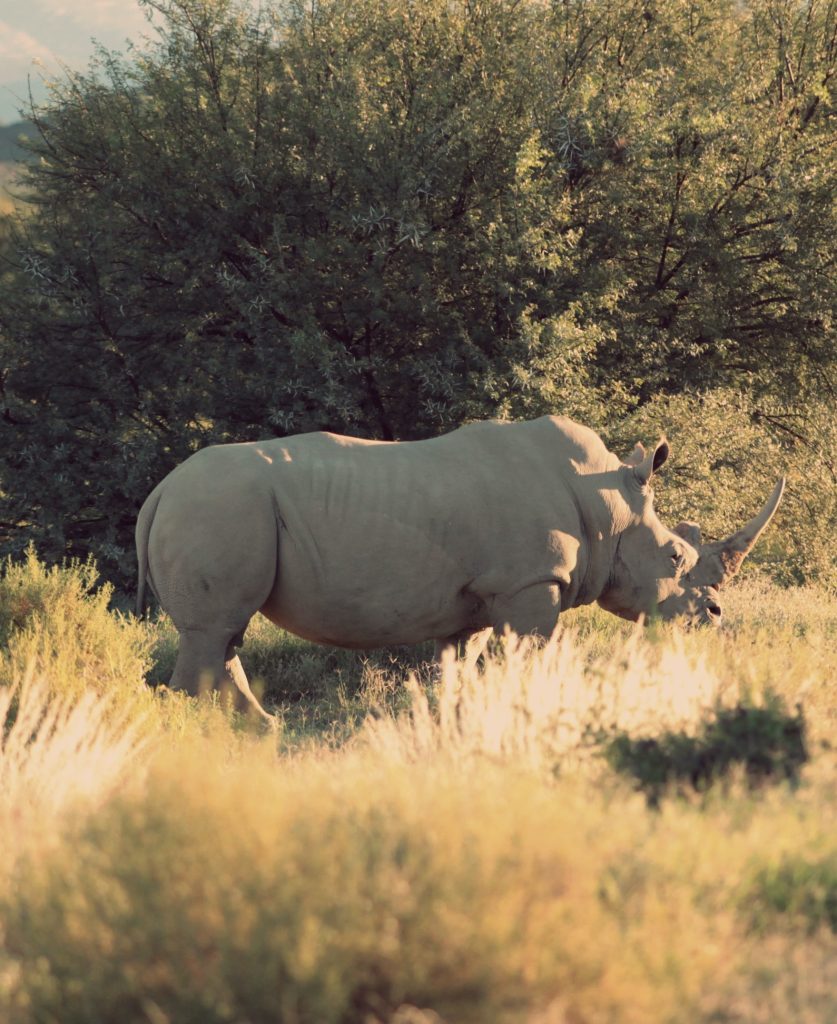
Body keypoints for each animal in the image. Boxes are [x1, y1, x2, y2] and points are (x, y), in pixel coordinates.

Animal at [136, 415, 784, 719]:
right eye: (676, 557)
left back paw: (258, 728)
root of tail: (158, 492)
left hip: (219, 508)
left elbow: (460, 665)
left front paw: (454, 719)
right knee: (214, 630)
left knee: (224, 635)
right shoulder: (532, 583)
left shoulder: (476, 598)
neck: (608, 506)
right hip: (219, 507)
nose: (714, 616)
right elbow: (533, 655)